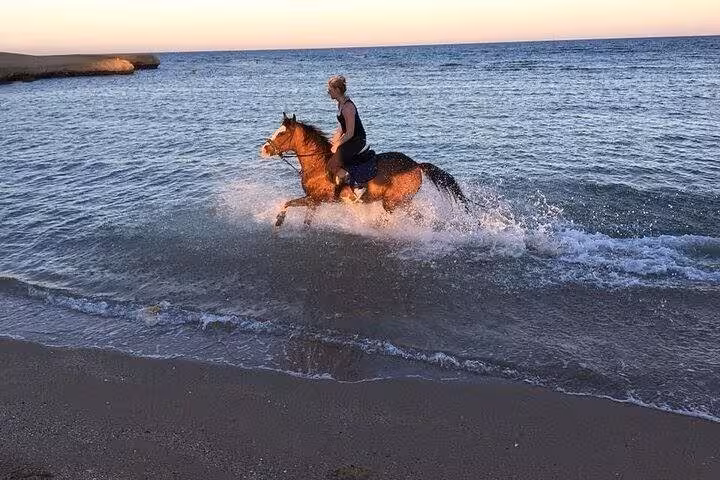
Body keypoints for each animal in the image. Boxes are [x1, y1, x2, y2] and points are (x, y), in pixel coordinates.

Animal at [260, 113, 468, 227]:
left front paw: (279, 220)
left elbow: (290, 205)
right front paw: (279, 221)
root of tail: (416, 165)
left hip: (394, 202)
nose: (264, 149)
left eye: (282, 133)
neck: (318, 165)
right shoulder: (314, 202)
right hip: (400, 202)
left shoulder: (315, 199)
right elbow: (294, 210)